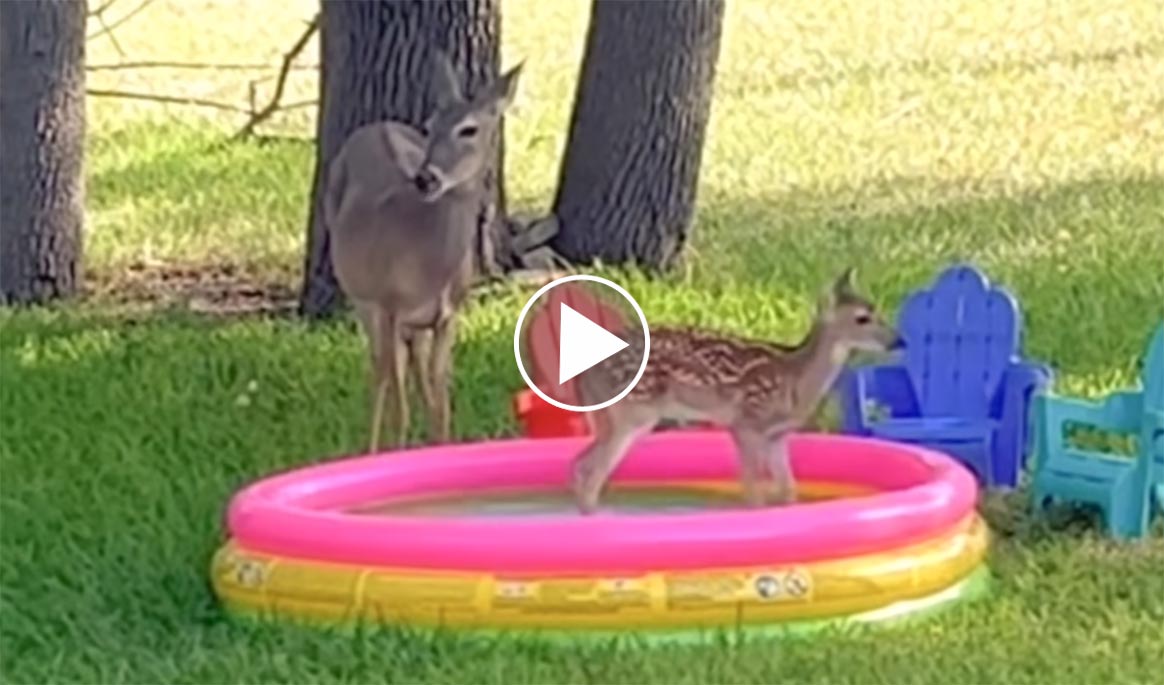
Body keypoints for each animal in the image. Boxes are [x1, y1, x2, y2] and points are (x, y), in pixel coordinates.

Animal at [323, 50, 523, 452]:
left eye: (469, 129)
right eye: (430, 126)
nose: (425, 178)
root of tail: (376, 125)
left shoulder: (448, 317)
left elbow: (440, 405)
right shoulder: (389, 307)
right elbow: (399, 405)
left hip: (413, 323)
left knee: (412, 371)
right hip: (361, 295)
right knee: (380, 369)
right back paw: (371, 449)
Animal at [570, 267, 898, 512]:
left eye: (878, 310)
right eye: (862, 318)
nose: (898, 341)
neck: (795, 378)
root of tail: (585, 374)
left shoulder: (777, 436)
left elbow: (788, 491)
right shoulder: (745, 422)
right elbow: (753, 493)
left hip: (616, 418)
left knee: (580, 465)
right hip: (633, 413)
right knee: (591, 478)